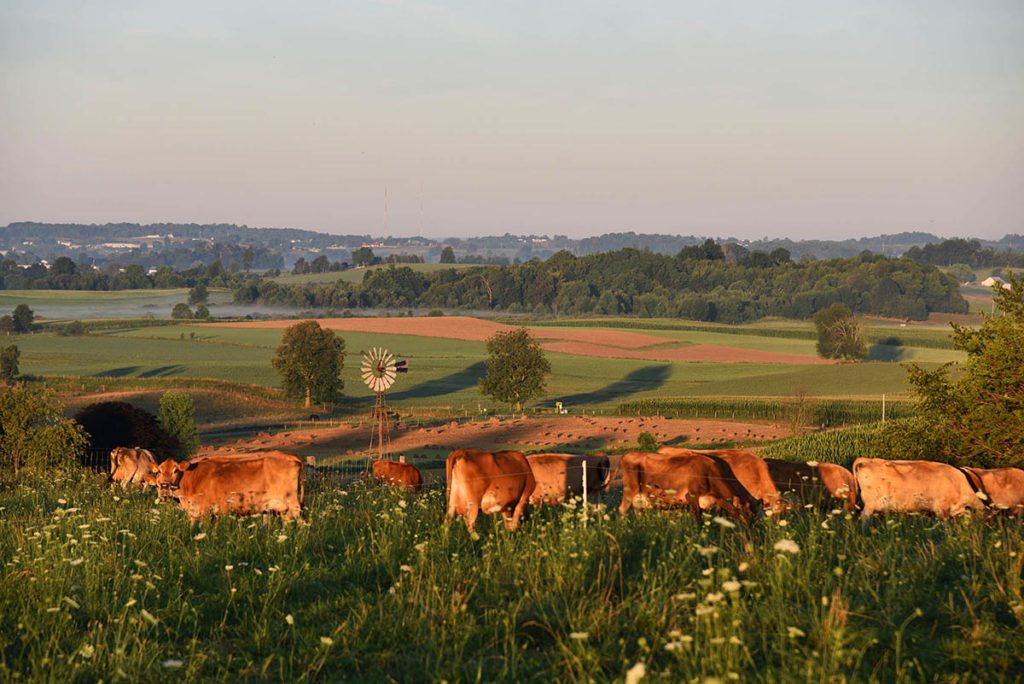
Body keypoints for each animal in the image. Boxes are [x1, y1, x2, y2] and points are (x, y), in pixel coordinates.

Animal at [149, 450, 303, 520]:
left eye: (175, 470)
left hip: (293, 504)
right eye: (159, 471)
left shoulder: (205, 512)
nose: (164, 486)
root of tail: (288, 456)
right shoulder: (194, 513)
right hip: (283, 509)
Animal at [610, 450, 757, 520]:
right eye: (745, 515)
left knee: (638, 511)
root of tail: (628, 454)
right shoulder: (691, 496)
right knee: (622, 509)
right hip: (629, 491)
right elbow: (698, 519)